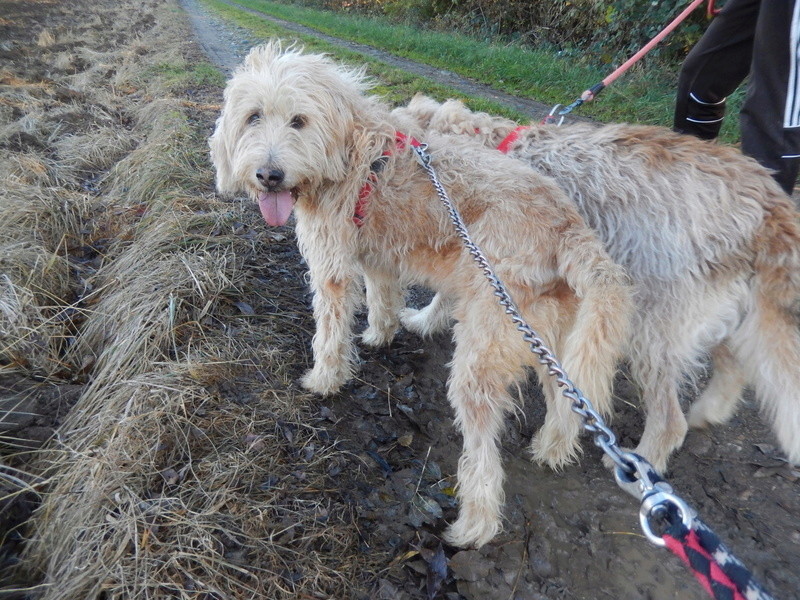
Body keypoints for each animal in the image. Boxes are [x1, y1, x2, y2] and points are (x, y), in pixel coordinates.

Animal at [209, 43, 636, 548]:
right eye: (253, 116)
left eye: (298, 120)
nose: (269, 175)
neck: (351, 146)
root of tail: (569, 225)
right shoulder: (378, 258)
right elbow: (382, 298)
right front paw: (379, 334)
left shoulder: (332, 266)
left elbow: (330, 329)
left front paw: (324, 378)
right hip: (542, 335)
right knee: (567, 399)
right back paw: (551, 449)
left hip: (483, 351)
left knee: (484, 452)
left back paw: (473, 524)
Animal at [390, 94, 800, 474]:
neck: (499, 146)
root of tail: (769, 206)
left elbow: (447, 292)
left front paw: (423, 320)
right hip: (723, 315)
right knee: (734, 366)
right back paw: (709, 411)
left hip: (652, 327)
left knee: (671, 420)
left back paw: (644, 458)